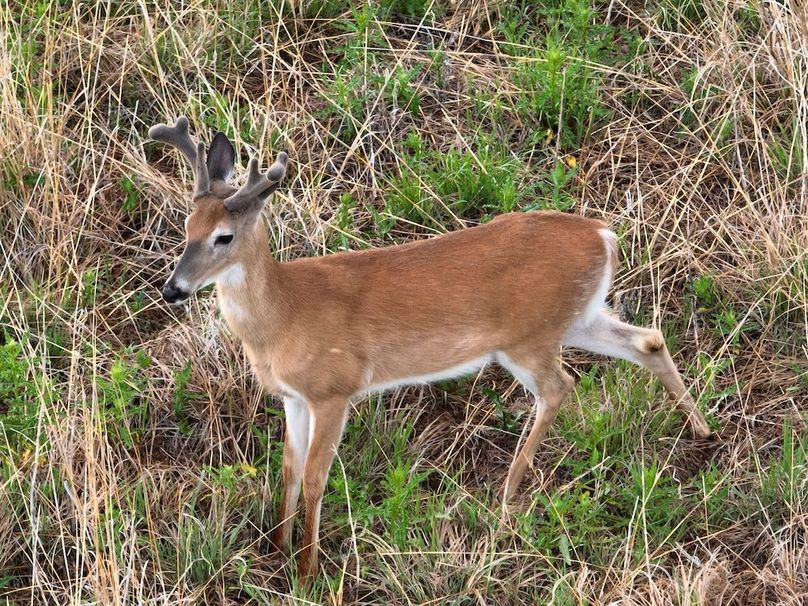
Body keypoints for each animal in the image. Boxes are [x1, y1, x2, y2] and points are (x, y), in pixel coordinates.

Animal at [147, 116, 712, 583]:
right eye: (186, 227)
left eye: (223, 237)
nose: (173, 289)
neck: (285, 314)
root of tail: (604, 235)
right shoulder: (292, 396)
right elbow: (288, 468)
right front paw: (279, 551)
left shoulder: (335, 389)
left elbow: (314, 477)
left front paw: (306, 573)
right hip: (576, 318)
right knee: (647, 339)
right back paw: (702, 430)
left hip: (527, 337)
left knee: (560, 387)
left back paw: (504, 502)